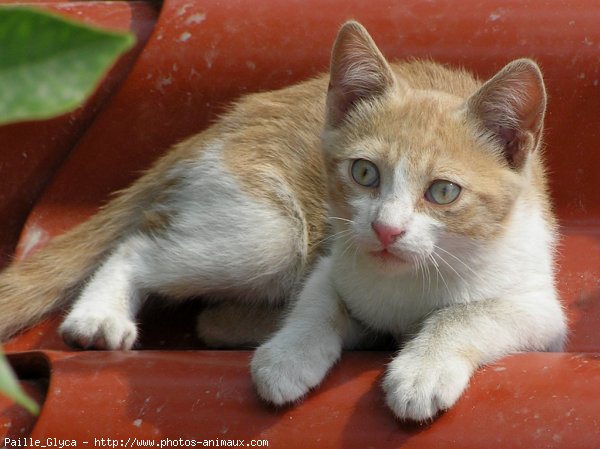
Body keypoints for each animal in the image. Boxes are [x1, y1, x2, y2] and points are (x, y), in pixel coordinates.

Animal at [0, 21, 564, 420]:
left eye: (443, 192)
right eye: (364, 172)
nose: (386, 230)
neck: (406, 285)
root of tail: (221, 127)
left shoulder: (541, 310)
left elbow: (467, 315)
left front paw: (422, 370)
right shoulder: (334, 256)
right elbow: (318, 302)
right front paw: (289, 356)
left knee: (203, 311)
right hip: (271, 233)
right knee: (138, 244)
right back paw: (101, 316)